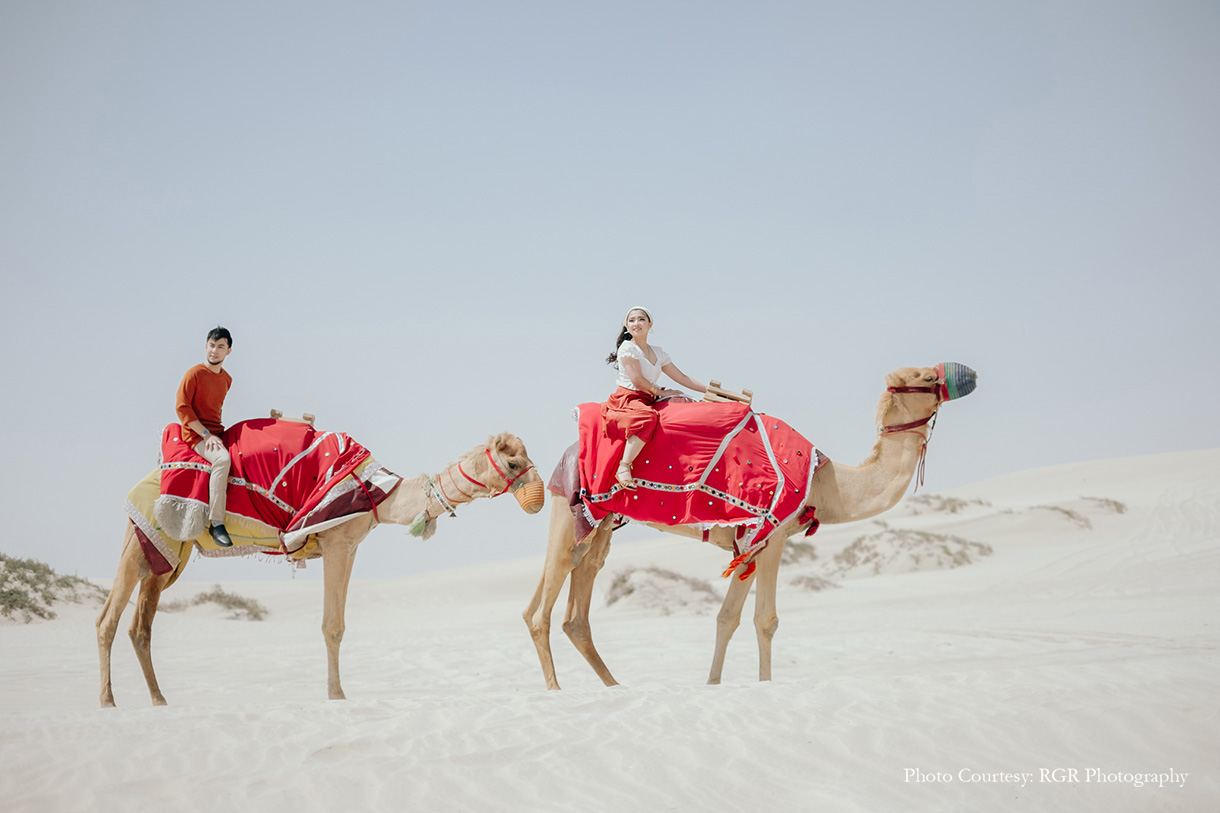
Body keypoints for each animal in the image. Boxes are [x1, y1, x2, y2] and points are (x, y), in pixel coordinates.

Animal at [100, 424, 544, 703]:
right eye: (514, 463)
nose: (538, 498)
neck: (382, 493)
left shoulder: (349, 546)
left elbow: (338, 624)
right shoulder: (336, 541)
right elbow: (333, 625)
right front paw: (337, 695)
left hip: (168, 553)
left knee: (140, 626)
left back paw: (159, 700)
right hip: (145, 536)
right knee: (108, 619)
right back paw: (108, 702)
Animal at [519, 363, 976, 688]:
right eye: (928, 377)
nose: (966, 374)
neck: (827, 482)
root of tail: (566, 450)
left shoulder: (749, 545)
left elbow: (727, 618)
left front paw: (713, 684)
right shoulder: (773, 537)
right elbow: (765, 621)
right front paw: (765, 685)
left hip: (598, 524)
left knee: (572, 598)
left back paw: (614, 686)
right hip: (570, 506)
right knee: (546, 601)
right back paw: (557, 690)